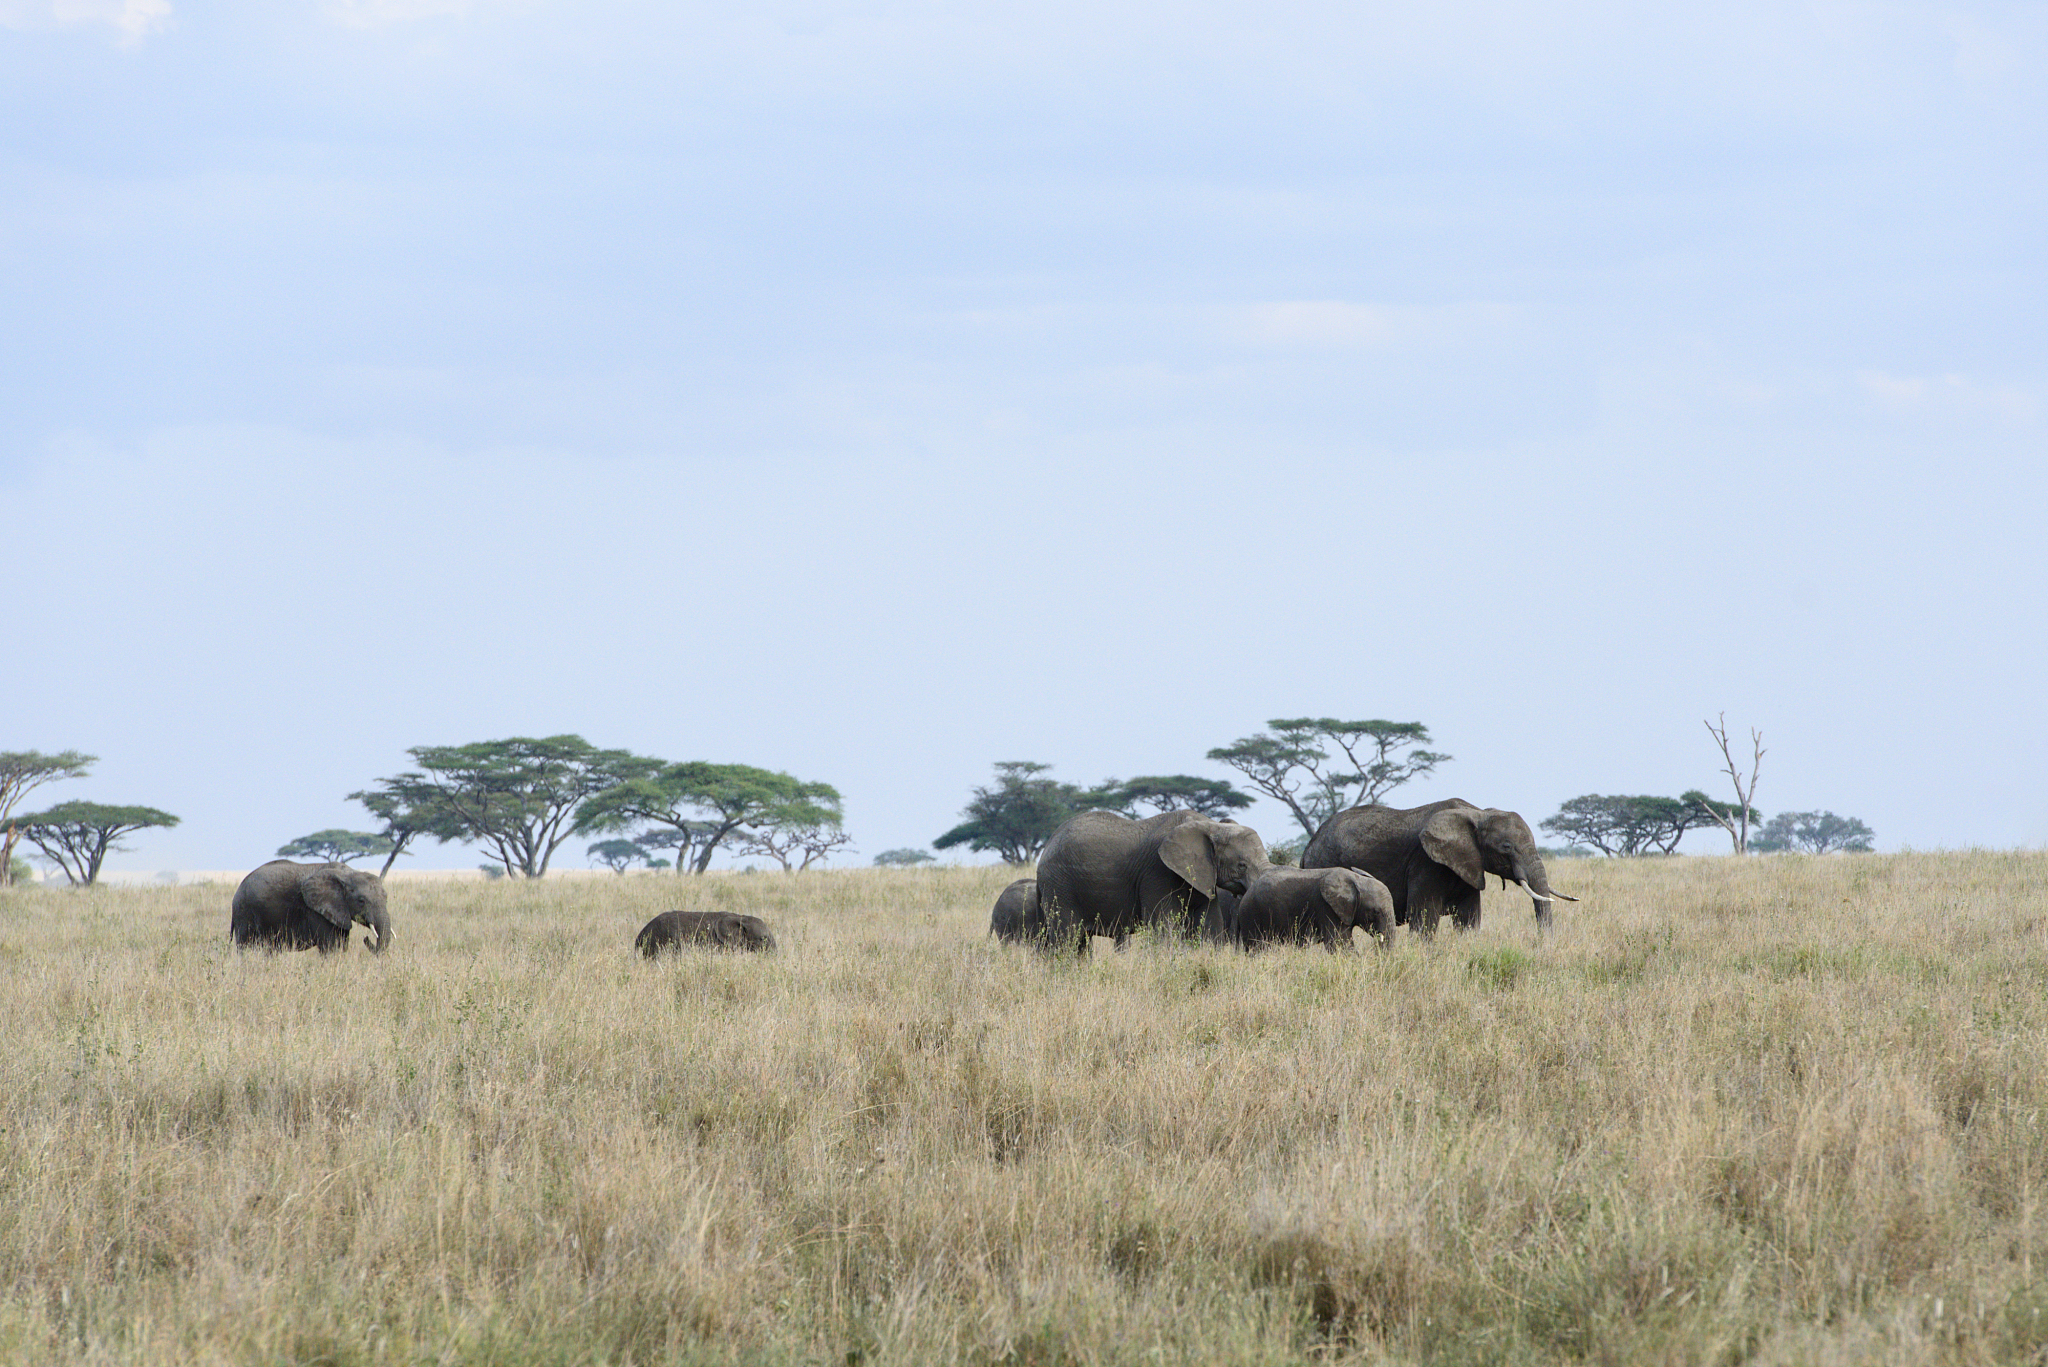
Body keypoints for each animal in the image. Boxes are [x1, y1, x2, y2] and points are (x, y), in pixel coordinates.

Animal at [230, 860, 390, 953]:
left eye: (386, 897)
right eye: (361, 901)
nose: (366, 938)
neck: (348, 874)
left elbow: (342, 943)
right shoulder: (317, 910)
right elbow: (332, 947)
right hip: (244, 912)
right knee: (246, 947)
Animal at [1034, 809, 1270, 955]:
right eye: (1242, 865)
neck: (1209, 825)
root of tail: (1046, 847)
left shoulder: (1203, 875)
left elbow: (1210, 925)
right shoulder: (1157, 873)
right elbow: (1163, 926)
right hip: (1060, 886)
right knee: (1068, 939)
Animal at [1230, 866, 1396, 952]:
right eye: (1375, 912)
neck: (1356, 879)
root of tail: (1244, 897)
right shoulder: (1327, 908)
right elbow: (1339, 944)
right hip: (1253, 915)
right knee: (1258, 948)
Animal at [1301, 799, 1578, 935]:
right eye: (1506, 847)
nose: (1542, 945)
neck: (1477, 813)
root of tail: (1308, 846)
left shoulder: (1468, 864)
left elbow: (1468, 919)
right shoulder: (1426, 862)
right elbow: (1425, 917)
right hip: (1323, 863)